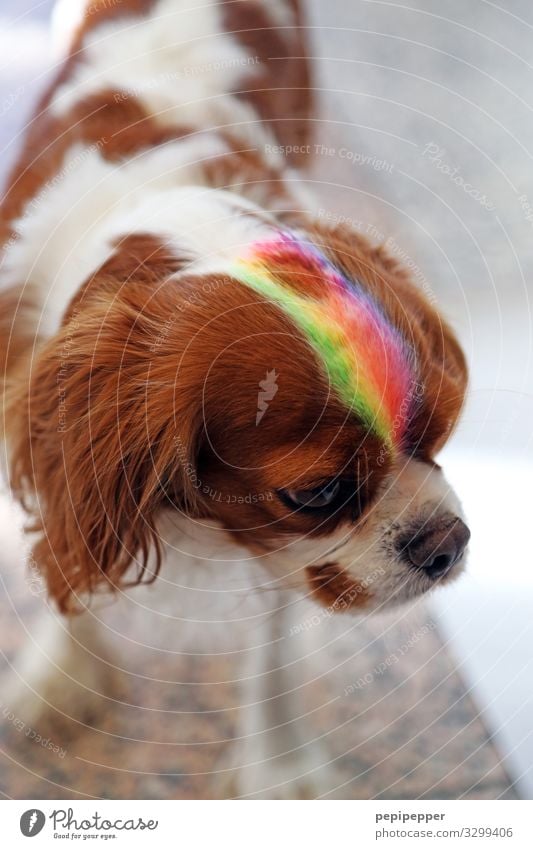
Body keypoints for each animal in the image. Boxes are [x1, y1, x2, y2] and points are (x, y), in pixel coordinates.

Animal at [0, 0, 468, 800]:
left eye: (435, 434)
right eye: (317, 492)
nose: (446, 542)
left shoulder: (276, 548)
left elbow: (271, 653)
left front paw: (278, 772)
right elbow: (68, 561)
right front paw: (64, 673)